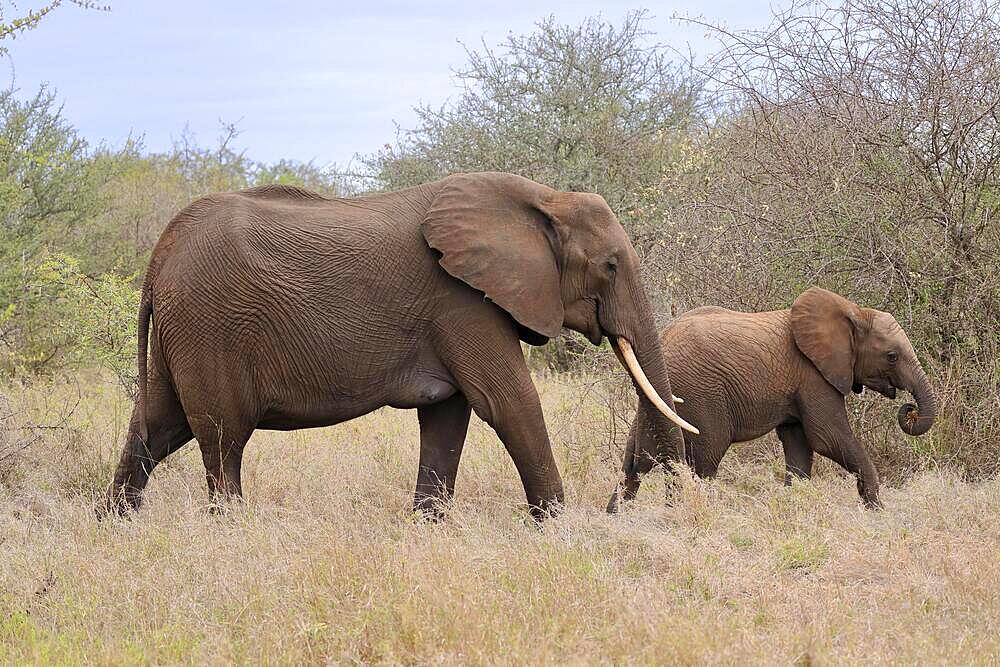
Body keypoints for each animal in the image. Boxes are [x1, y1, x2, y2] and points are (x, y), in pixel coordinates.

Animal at [101, 170, 696, 520]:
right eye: (610, 266)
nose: (622, 509)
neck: (543, 200)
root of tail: (159, 257)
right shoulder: (463, 302)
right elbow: (508, 403)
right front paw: (555, 527)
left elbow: (449, 416)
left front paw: (427, 526)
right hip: (211, 326)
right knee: (222, 440)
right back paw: (232, 530)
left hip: (182, 330)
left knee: (157, 427)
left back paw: (115, 524)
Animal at [608, 288, 936, 512]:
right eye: (892, 356)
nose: (909, 409)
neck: (853, 311)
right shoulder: (813, 376)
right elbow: (827, 438)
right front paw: (876, 509)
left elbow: (799, 446)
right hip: (700, 397)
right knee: (701, 463)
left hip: (656, 403)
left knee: (635, 463)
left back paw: (618, 515)